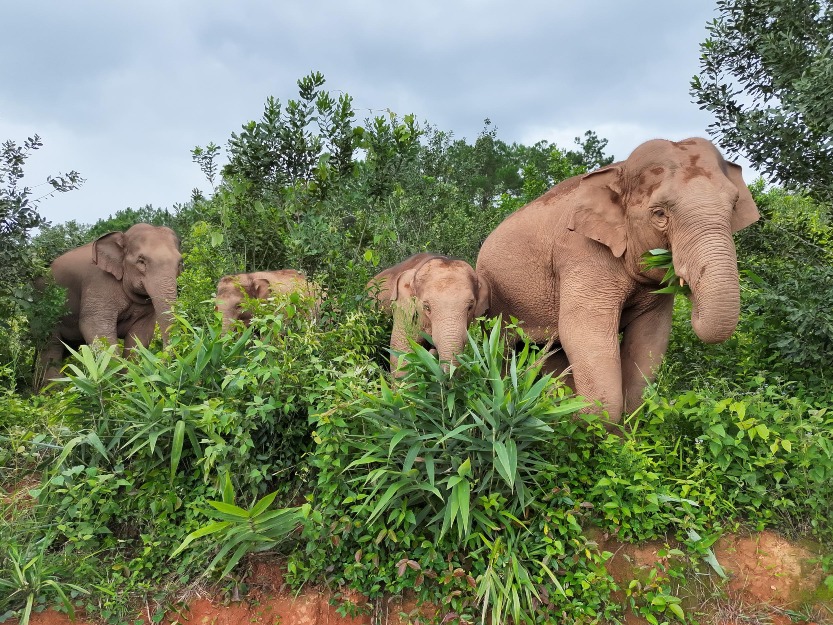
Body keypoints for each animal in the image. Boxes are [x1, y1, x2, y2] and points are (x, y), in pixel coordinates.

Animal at [39, 223, 183, 384]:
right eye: (141, 261)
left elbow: (140, 334)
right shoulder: (98, 282)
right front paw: (113, 381)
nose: (161, 364)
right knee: (52, 348)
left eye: (180, 262)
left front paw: (130, 378)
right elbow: (95, 326)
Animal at [476, 137, 760, 422]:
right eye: (659, 214)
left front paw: (624, 425)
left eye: (734, 206)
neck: (619, 169)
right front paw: (589, 422)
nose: (688, 286)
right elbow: (582, 331)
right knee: (502, 351)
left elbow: (650, 337)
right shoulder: (582, 254)